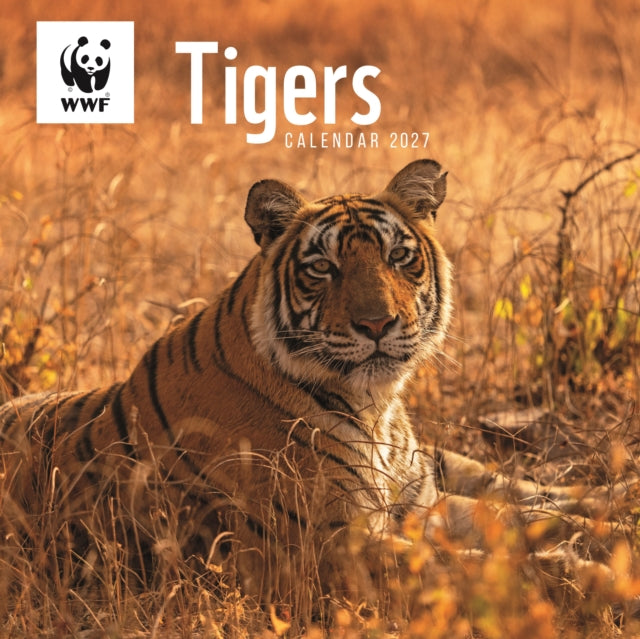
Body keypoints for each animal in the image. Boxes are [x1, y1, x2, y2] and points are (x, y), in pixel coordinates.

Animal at [0, 159, 634, 619]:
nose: (377, 324)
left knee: (523, 487)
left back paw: (621, 494)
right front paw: (601, 581)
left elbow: (527, 520)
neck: (376, 407)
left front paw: (612, 539)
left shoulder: (414, 504)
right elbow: (486, 565)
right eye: (323, 268)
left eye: (399, 258)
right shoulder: (327, 551)